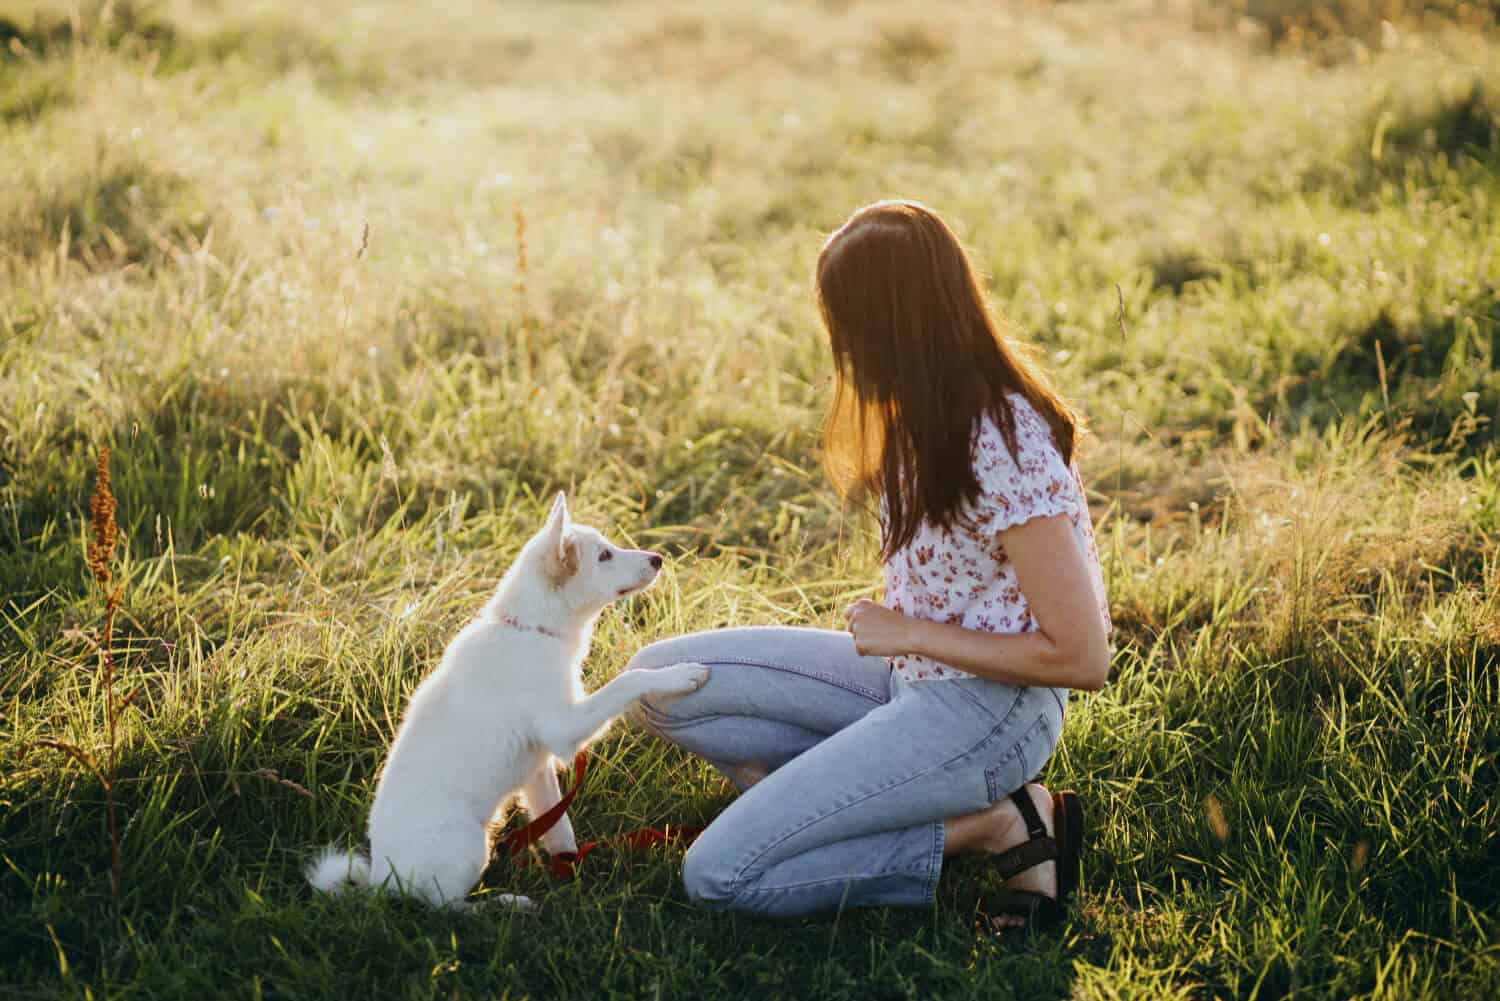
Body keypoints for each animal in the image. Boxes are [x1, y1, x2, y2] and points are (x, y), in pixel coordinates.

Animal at [304, 492, 708, 906]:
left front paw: (570, 867)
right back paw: (503, 904)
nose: (658, 559)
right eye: (604, 556)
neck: (532, 629)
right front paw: (678, 675)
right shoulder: (564, 729)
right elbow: (628, 680)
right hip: (469, 844)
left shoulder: (538, 770)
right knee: (445, 906)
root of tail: (383, 880)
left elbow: (558, 826)